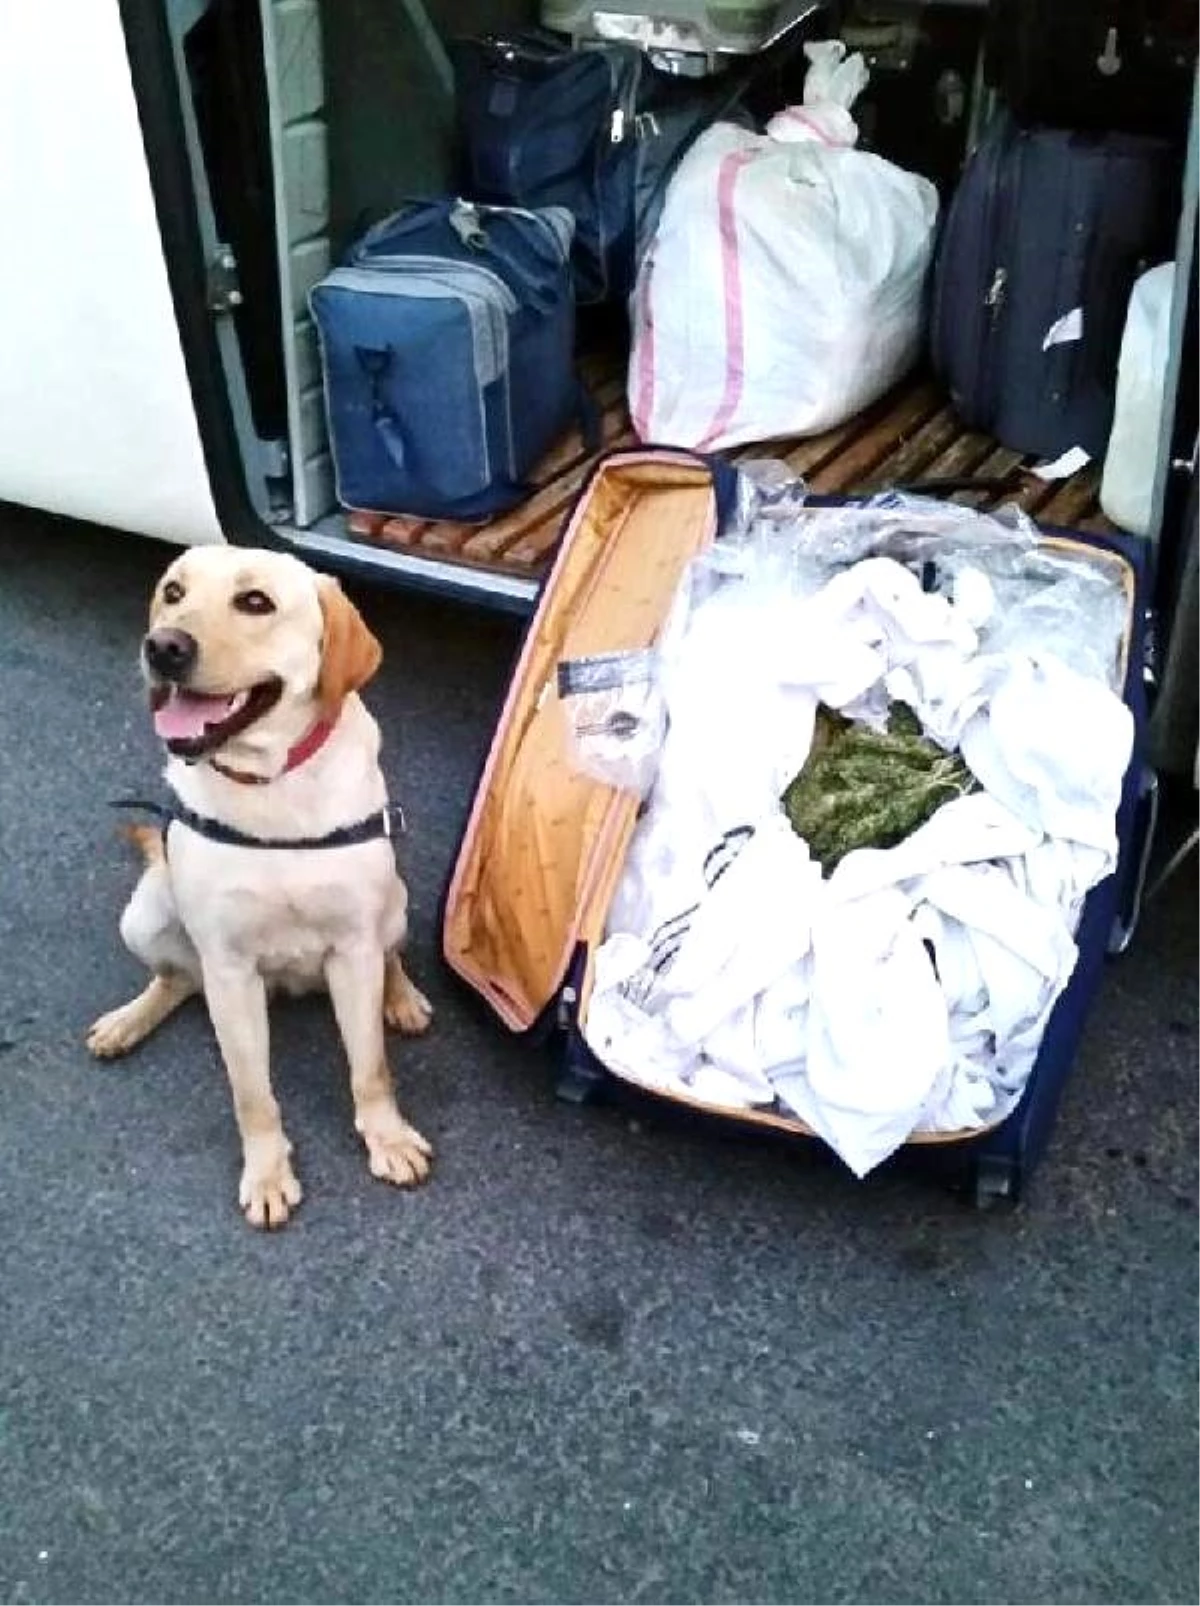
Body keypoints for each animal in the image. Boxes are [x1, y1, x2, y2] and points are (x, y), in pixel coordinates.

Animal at [90, 546, 436, 1220]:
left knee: (392, 953)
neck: (270, 786)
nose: (163, 646)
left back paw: (402, 997)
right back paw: (127, 1020)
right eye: (173, 592)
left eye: (256, 602)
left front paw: (387, 1137)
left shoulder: (353, 949)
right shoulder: (229, 970)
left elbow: (370, 1066)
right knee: (177, 979)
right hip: (144, 915)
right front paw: (268, 1172)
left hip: (396, 903)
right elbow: (251, 1091)